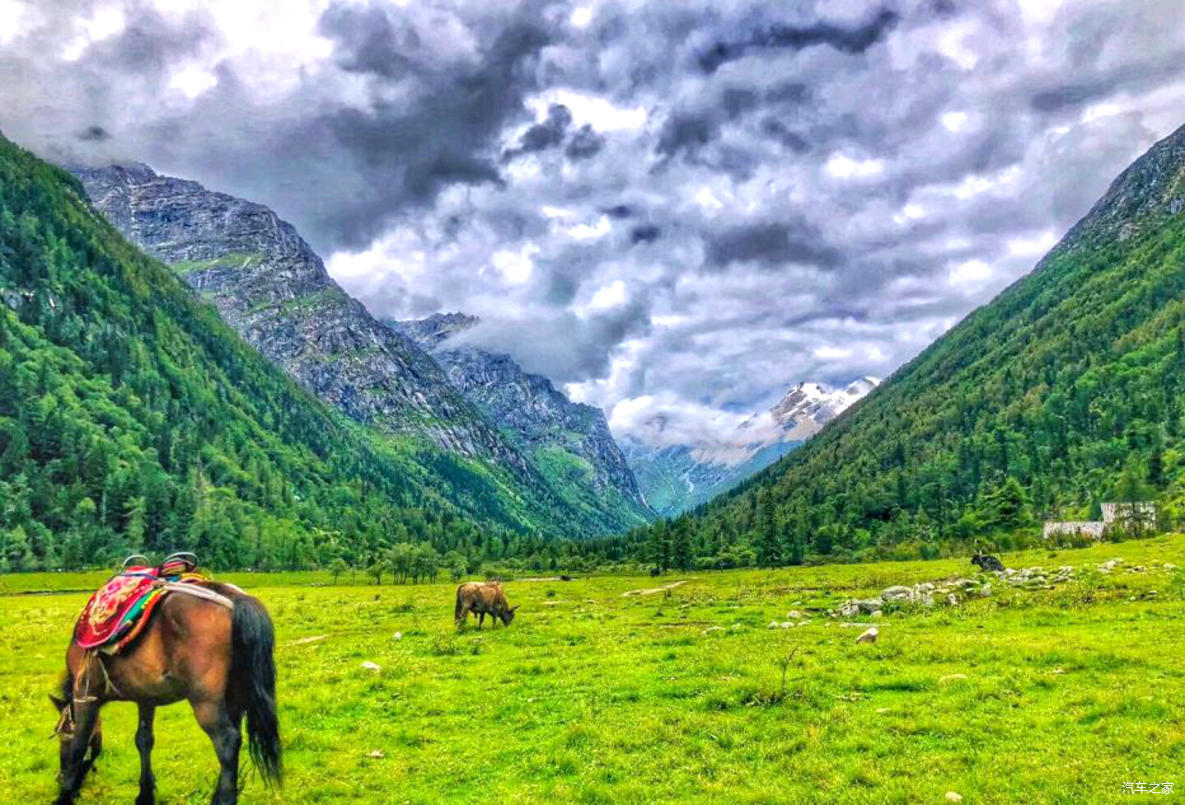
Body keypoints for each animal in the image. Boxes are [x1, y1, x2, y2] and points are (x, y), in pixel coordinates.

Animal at [53, 583, 282, 801]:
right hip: (235, 698)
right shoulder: (146, 698)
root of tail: (235, 600)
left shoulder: (85, 691)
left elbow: (80, 742)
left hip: (206, 702)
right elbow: (143, 740)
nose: (59, 777)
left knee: (227, 742)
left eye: (61, 736)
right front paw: (145, 793)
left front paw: (65, 793)